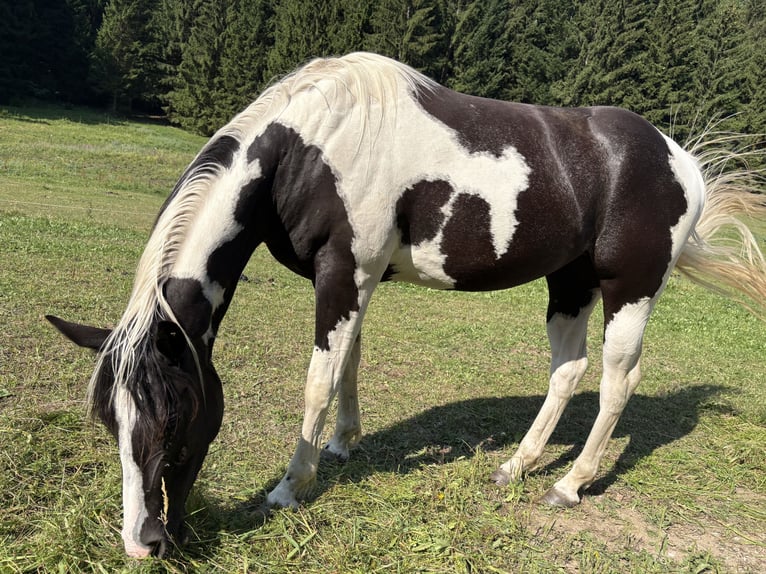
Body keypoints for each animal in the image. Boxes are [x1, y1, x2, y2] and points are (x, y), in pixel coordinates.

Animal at [47, 52, 766, 558]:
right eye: (112, 421)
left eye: (174, 418)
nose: (143, 542)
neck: (311, 144)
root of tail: (680, 160)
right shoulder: (356, 281)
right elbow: (349, 362)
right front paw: (343, 445)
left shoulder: (343, 275)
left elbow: (317, 380)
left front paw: (290, 487)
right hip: (570, 284)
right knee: (569, 370)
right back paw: (516, 466)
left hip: (627, 291)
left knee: (618, 379)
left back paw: (570, 484)